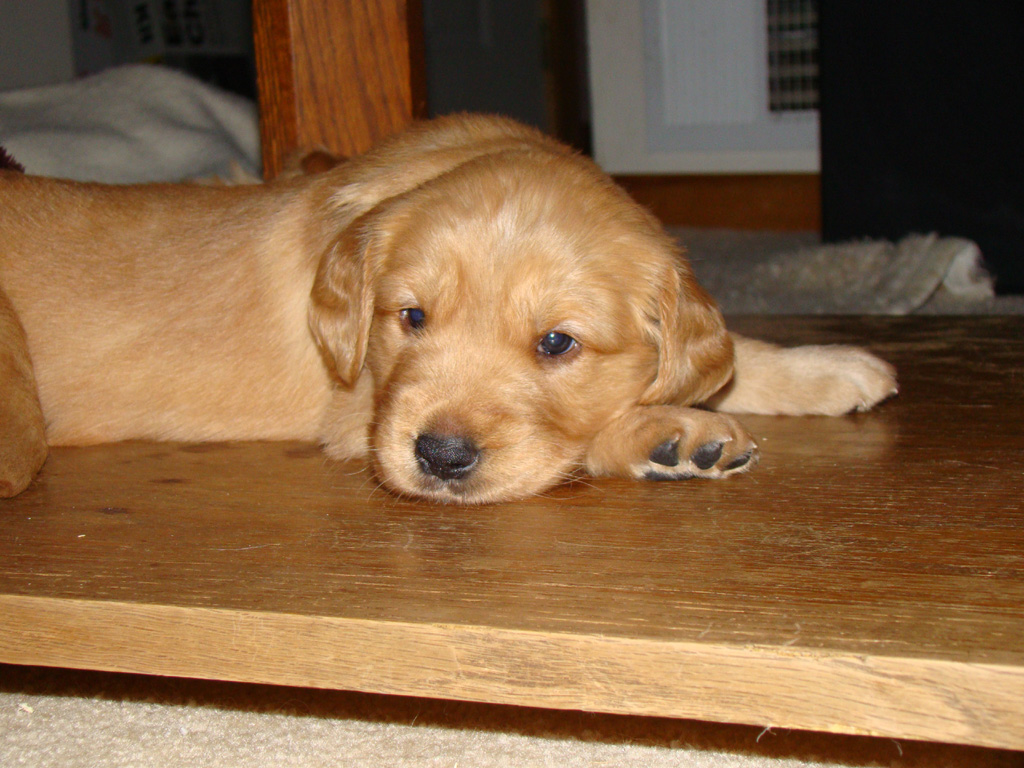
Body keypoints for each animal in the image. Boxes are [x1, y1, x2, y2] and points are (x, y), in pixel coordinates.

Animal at [0, 111, 897, 501]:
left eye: (557, 344)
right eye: (413, 318)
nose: (440, 457)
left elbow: (730, 355)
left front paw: (824, 368)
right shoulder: (357, 414)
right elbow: (584, 434)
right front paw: (668, 433)